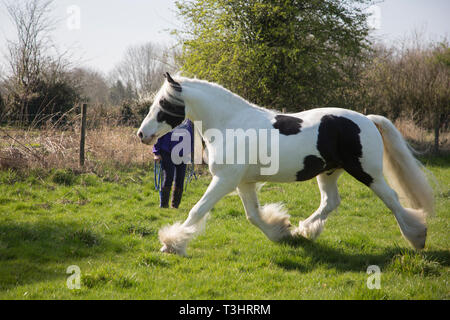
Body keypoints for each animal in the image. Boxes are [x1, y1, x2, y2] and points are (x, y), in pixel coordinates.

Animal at [138, 74, 436, 256]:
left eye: (163, 103)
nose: (142, 134)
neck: (230, 124)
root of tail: (367, 119)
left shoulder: (224, 180)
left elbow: (197, 211)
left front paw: (171, 244)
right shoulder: (243, 183)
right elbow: (254, 216)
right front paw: (282, 231)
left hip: (367, 172)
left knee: (392, 199)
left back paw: (417, 236)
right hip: (329, 172)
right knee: (331, 202)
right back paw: (304, 230)